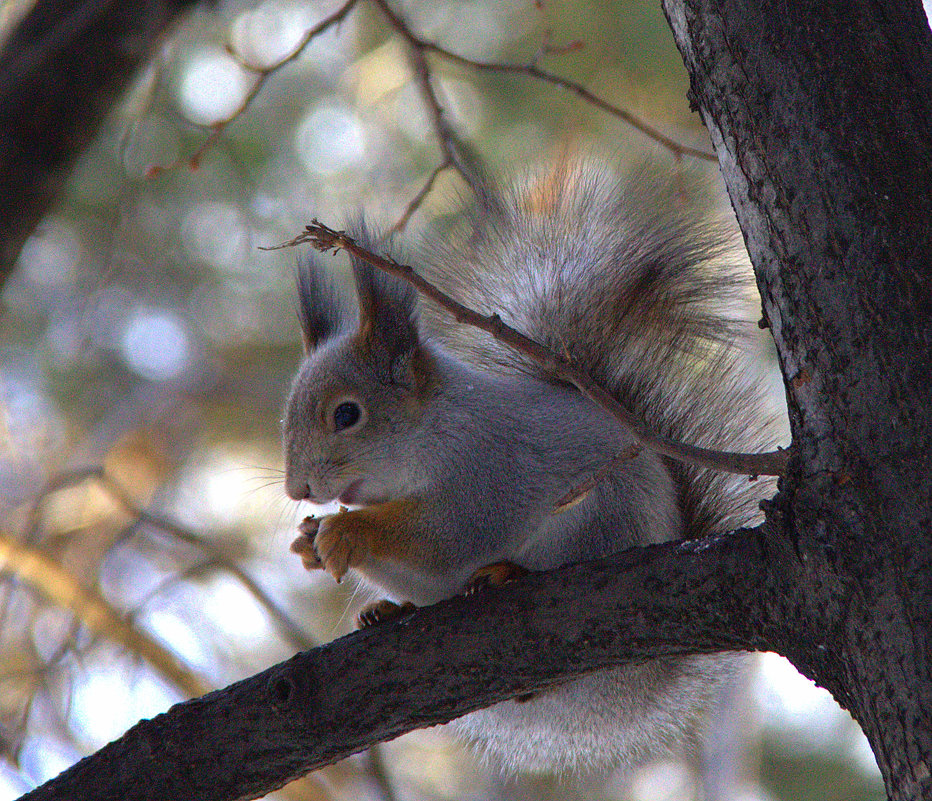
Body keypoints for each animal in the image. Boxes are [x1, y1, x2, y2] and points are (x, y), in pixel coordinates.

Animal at [280, 159, 784, 780]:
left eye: (347, 414)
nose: (297, 488)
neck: (431, 434)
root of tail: (644, 678)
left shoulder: (489, 471)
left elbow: (446, 538)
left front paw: (346, 530)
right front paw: (309, 542)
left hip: (601, 524)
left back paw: (505, 574)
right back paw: (388, 610)